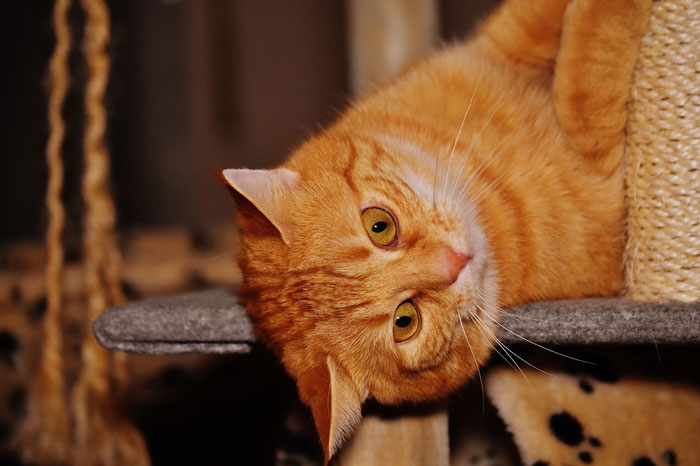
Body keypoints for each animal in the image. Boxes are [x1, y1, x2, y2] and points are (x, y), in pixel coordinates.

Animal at [221, 0, 652, 460]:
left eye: (379, 226)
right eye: (405, 321)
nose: (455, 261)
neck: (487, 180)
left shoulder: (498, 44)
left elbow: (543, 23)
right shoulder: (602, 189)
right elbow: (587, 80)